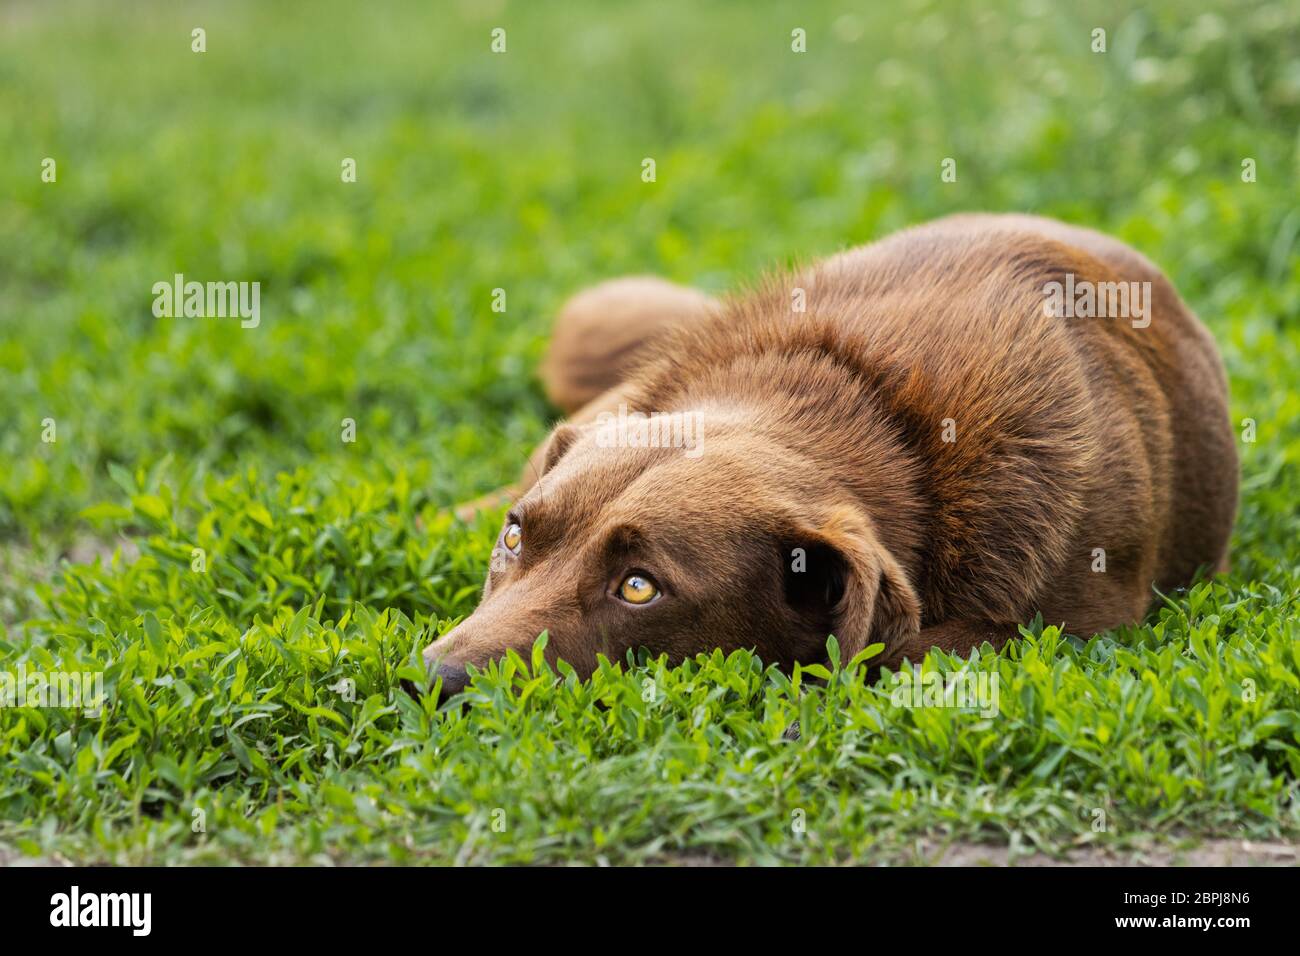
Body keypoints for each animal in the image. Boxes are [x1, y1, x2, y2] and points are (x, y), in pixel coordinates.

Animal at [418, 213, 1237, 697]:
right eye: (516, 537)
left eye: (640, 588)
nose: (432, 681)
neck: (872, 407)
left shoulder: (1063, 624)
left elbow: (900, 650)